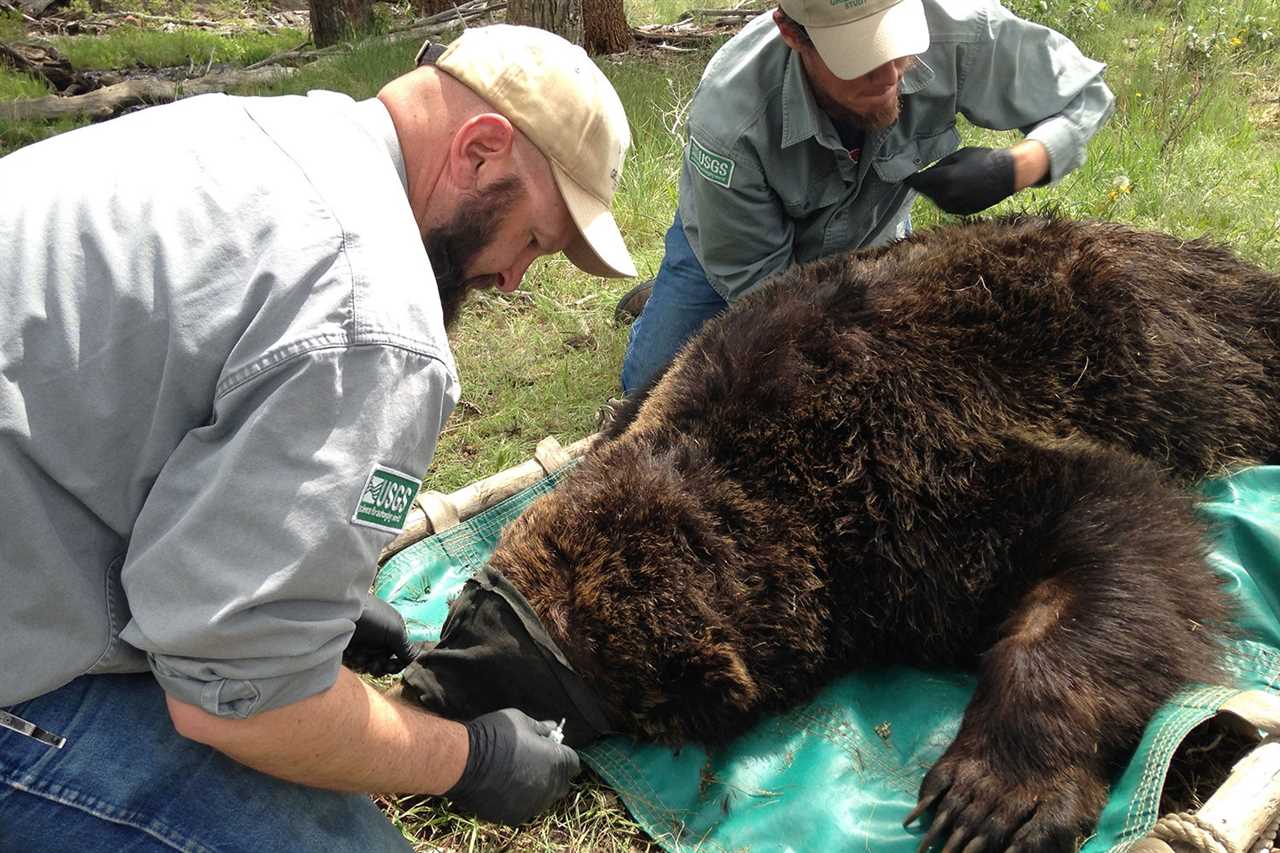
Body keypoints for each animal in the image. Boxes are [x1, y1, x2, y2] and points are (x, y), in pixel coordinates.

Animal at [399, 216, 1280, 845]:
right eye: (464, 612)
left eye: (536, 675)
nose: (419, 681)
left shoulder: (937, 461)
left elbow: (1116, 529)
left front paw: (994, 792)